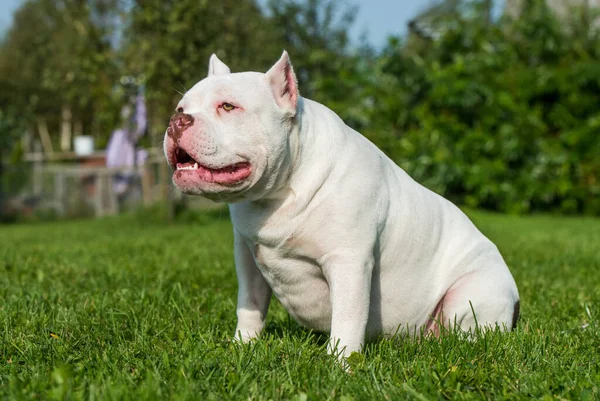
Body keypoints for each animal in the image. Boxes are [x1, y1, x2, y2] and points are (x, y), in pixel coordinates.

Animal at [164, 50, 520, 356]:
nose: (177, 121)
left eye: (228, 107)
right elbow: (249, 305)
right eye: (182, 108)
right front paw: (243, 346)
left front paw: (341, 364)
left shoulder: (349, 262)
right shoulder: (247, 257)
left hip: (472, 292)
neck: (278, 193)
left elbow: (348, 319)